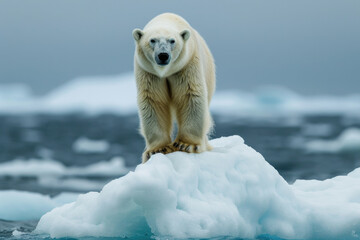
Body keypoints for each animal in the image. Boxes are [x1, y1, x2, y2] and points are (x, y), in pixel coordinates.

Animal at [133, 13, 215, 163]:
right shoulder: (149, 72)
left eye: (172, 41)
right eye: (152, 40)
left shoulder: (186, 65)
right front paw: (157, 149)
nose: (163, 55)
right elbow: (153, 101)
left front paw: (186, 144)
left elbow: (190, 95)